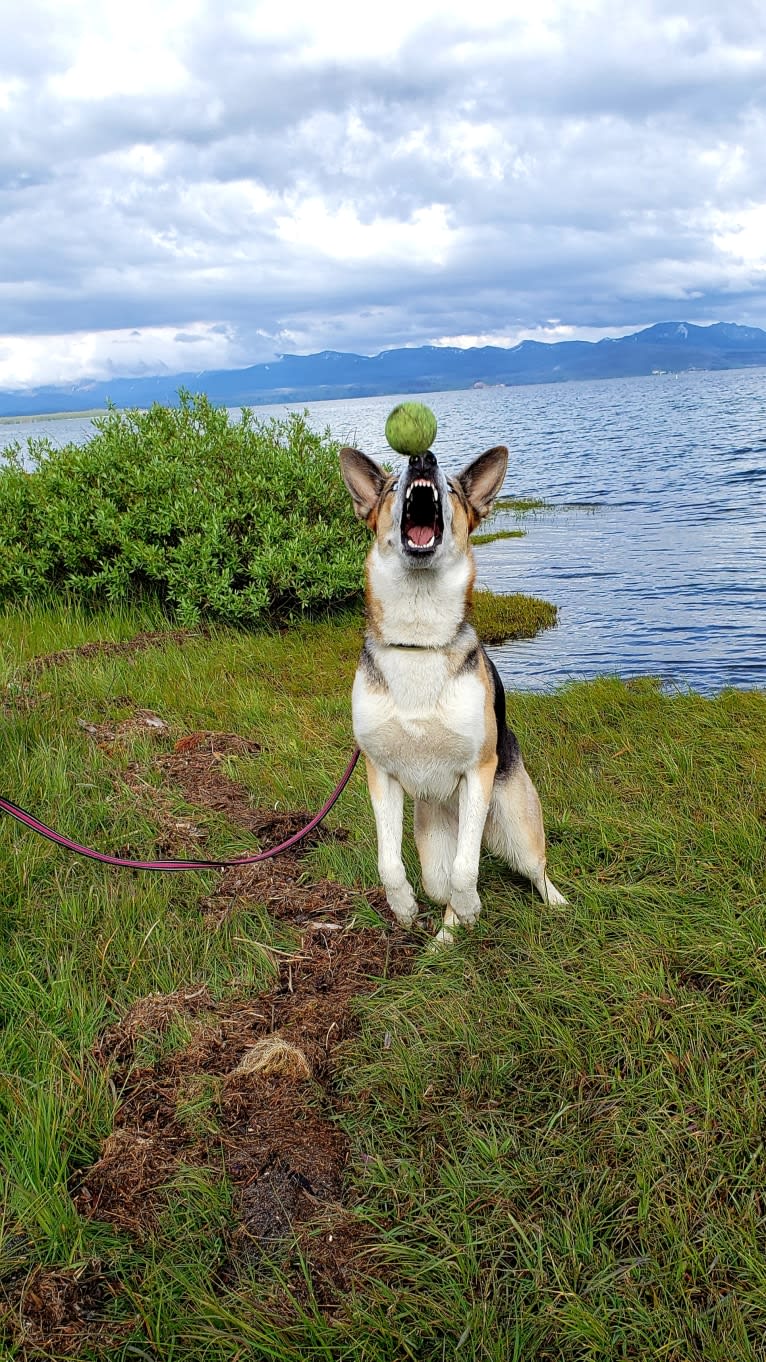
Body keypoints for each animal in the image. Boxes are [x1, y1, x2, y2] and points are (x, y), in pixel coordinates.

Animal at [336, 441, 564, 942]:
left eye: (455, 491)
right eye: (391, 486)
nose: (421, 459)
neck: (419, 640)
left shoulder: (478, 772)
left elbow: (467, 870)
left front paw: (472, 902)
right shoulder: (381, 775)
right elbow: (388, 864)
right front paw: (402, 907)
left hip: (516, 822)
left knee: (534, 867)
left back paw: (556, 903)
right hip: (432, 851)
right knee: (442, 887)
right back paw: (444, 941)